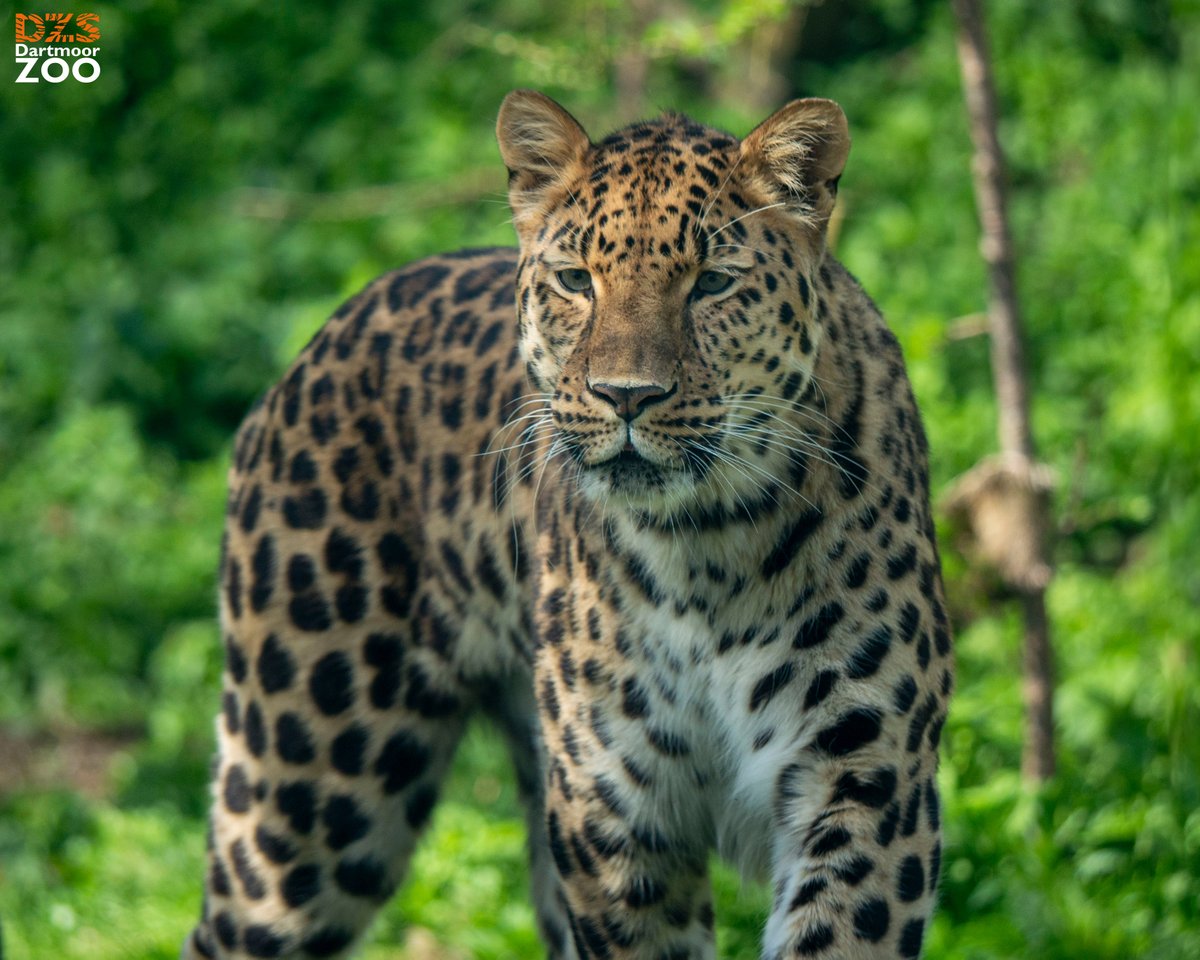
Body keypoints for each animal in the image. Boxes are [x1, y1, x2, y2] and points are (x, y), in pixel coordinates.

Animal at [184, 90, 955, 960]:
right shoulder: (614, 816)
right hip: (303, 794)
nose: (627, 396)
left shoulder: (865, 781)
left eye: (713, 283)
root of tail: (318, 341)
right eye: (576, 280)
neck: (704, 547)